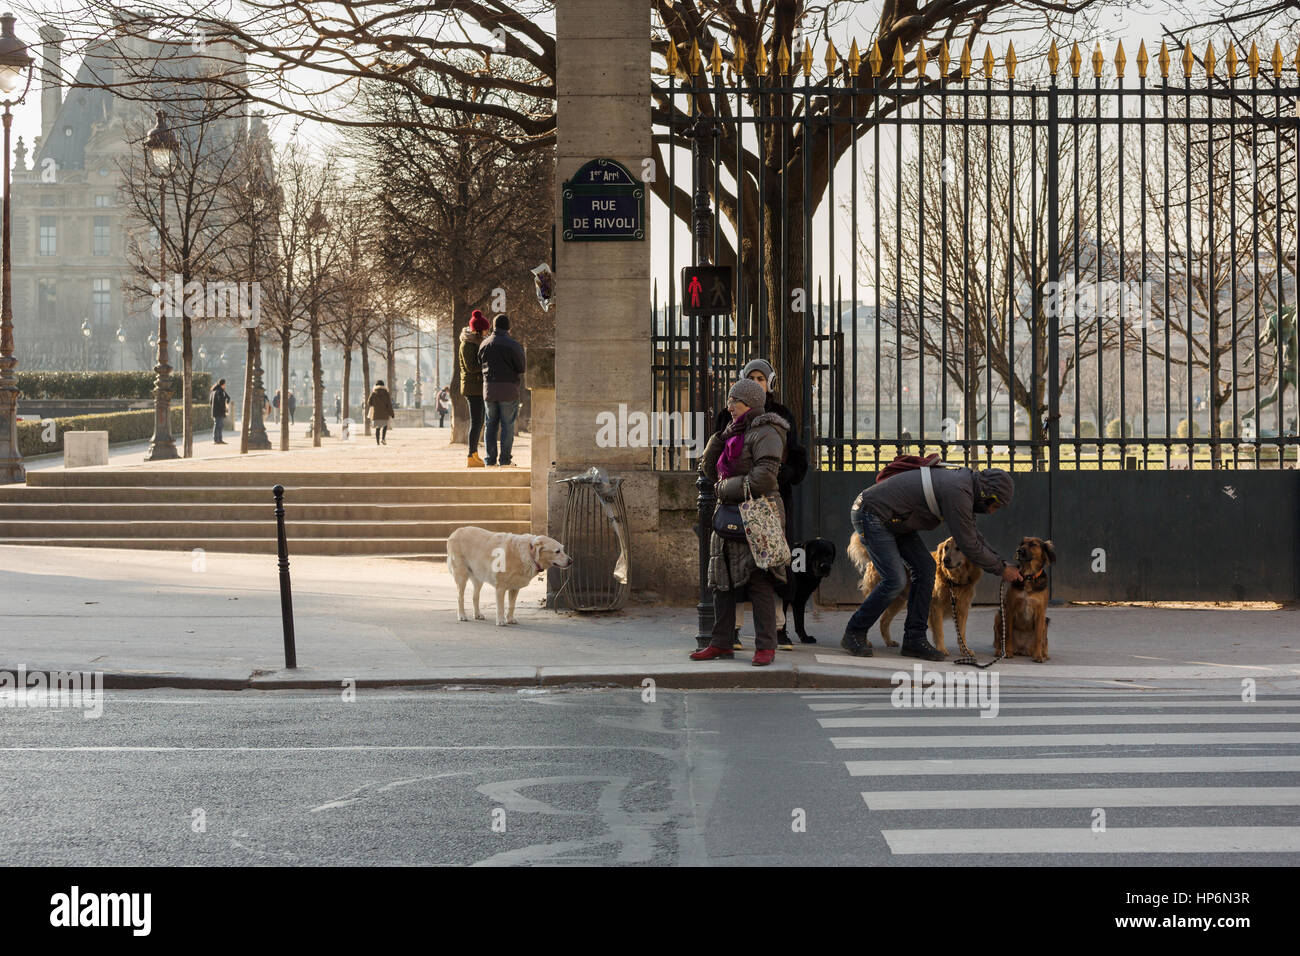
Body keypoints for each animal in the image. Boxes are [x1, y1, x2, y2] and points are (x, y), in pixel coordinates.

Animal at [847, 530, 977, 658]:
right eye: (946, 548)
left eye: (958, 548)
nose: (945, 560)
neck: (952, 580)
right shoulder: (936, 607)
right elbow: (939, 631)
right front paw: (941, 649)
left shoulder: (962, 609)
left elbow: (961, 633)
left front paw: (965, 650)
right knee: (864, 615)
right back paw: (863, 642)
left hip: (897, 601)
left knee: (883, 621)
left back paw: (889, 641)